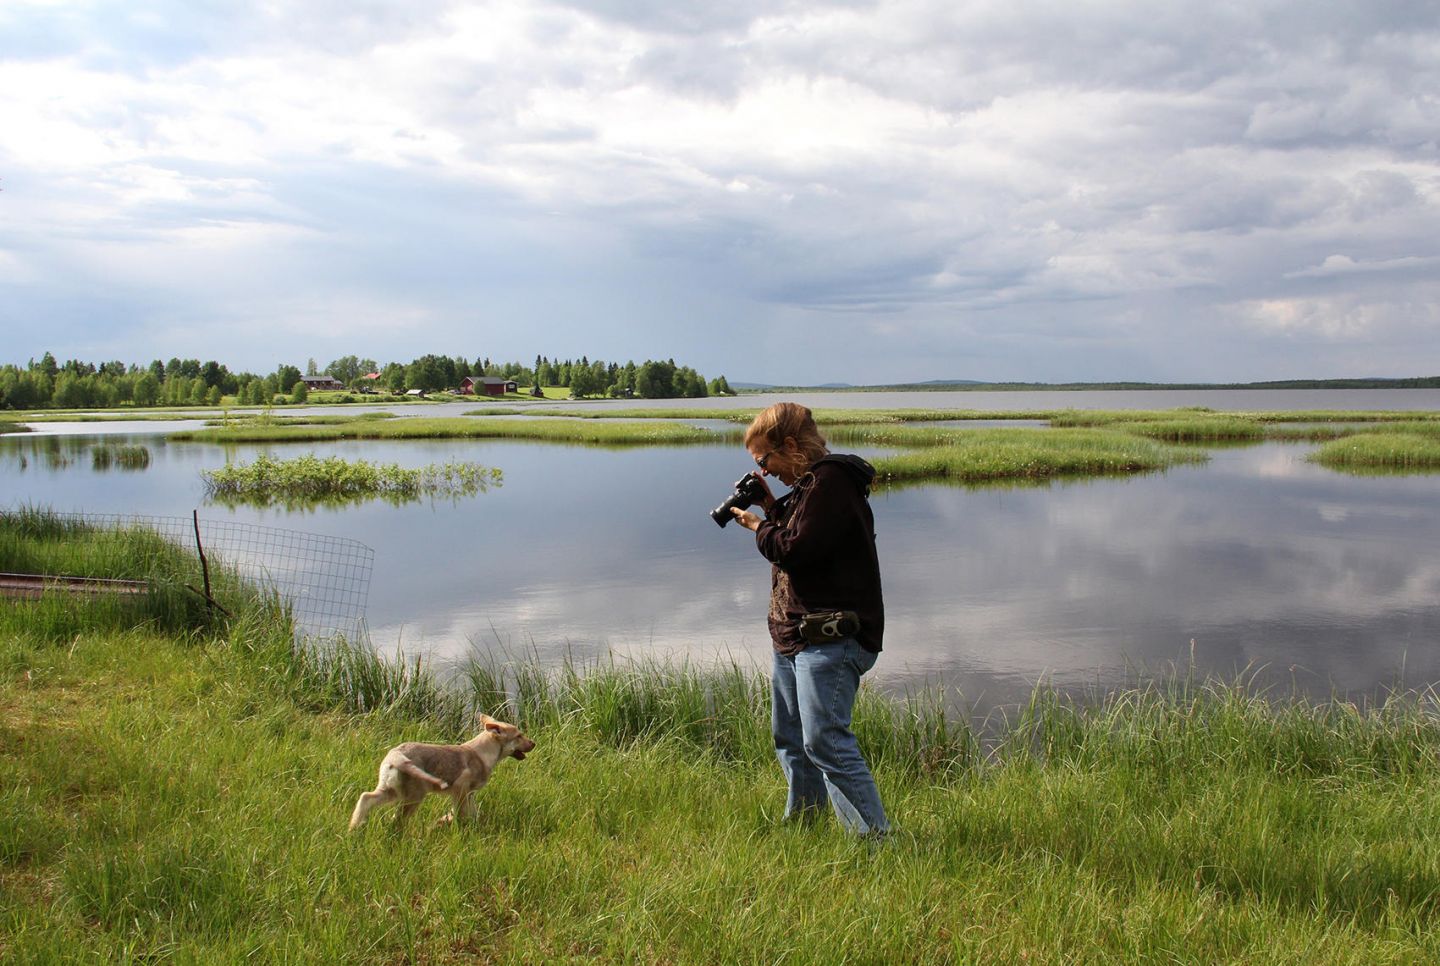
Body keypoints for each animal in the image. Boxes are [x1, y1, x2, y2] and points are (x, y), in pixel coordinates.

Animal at [348, 711, 535, 829]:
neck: (483, 753)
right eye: (519, 736)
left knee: (365, 798)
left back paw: (354, 827)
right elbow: (460, 814)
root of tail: (395, 755)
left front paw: (445, 822)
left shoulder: (469, 793)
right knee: (397, 821)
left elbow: (472, 813)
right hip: (413, 796)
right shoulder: (460, 789)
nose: (534, 743)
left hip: (391, 791)